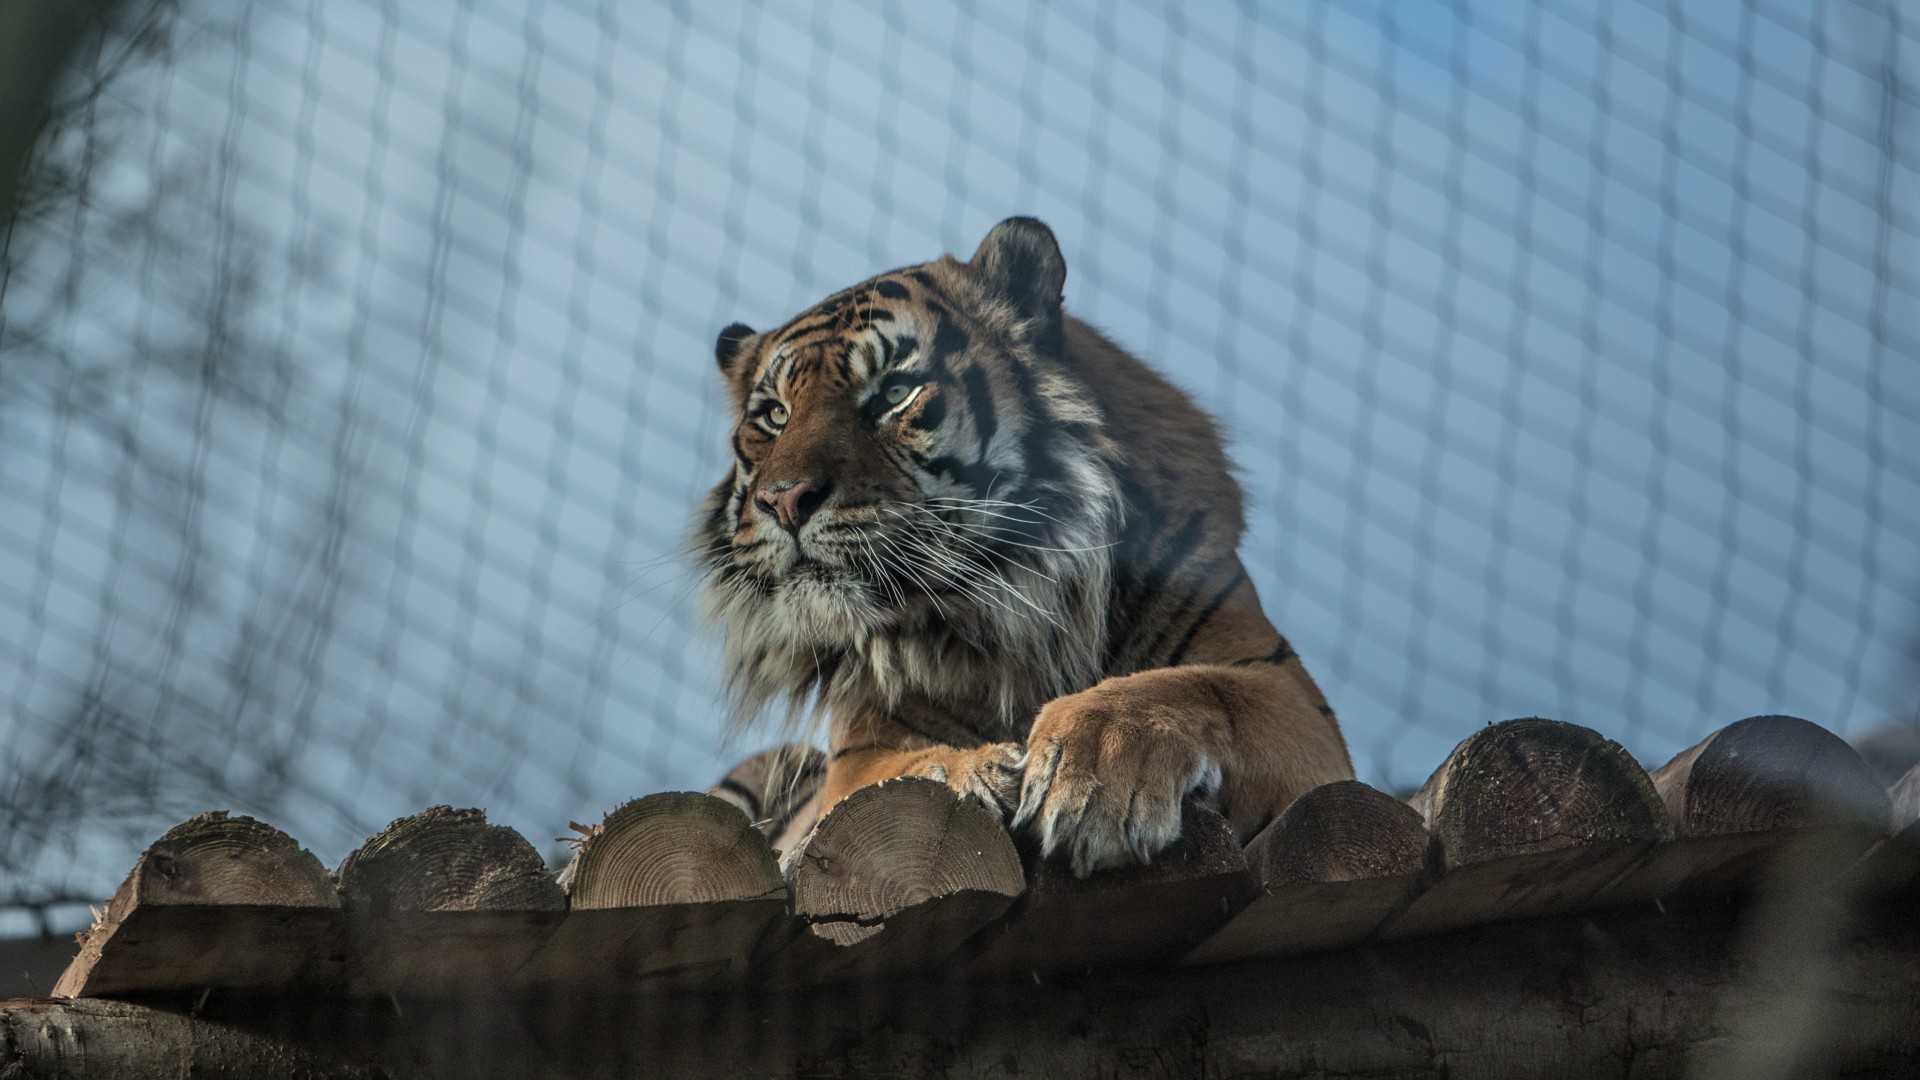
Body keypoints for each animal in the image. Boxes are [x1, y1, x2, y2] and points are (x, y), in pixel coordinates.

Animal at [702, 212, 1351, 876]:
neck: (1023, 604)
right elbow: (894, 772)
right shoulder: (858, 753)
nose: (784, 499)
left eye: (894, 394)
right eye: (775, 415)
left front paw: (1097, 759)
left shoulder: (1289, 698)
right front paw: (975, 773)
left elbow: (1192, 687)